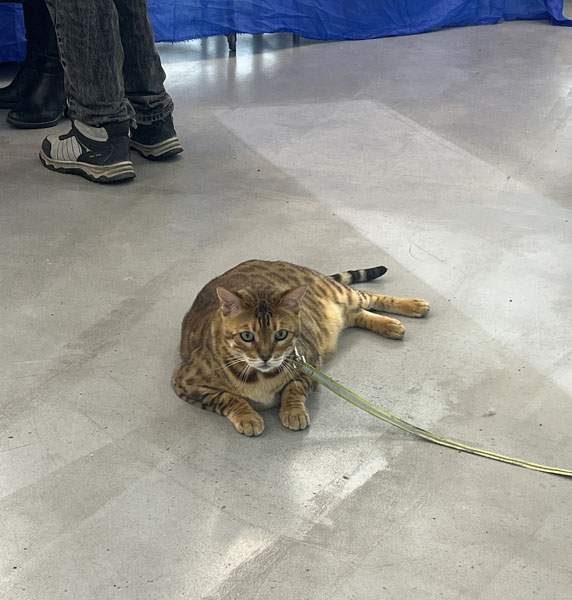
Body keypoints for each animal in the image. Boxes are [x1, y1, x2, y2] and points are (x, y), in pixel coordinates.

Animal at [172, 259, 429, 436]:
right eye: (247, 336)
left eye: (281, 334)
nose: (265, 356)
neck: (260, 377)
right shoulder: (185, 382)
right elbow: (228, 398)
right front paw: (247, 417)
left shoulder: (310, 365)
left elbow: (293, 388)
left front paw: (292, 412)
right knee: (357, 314)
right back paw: (390, 325)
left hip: (340, 293)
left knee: (369, 297)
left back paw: (413, 306)